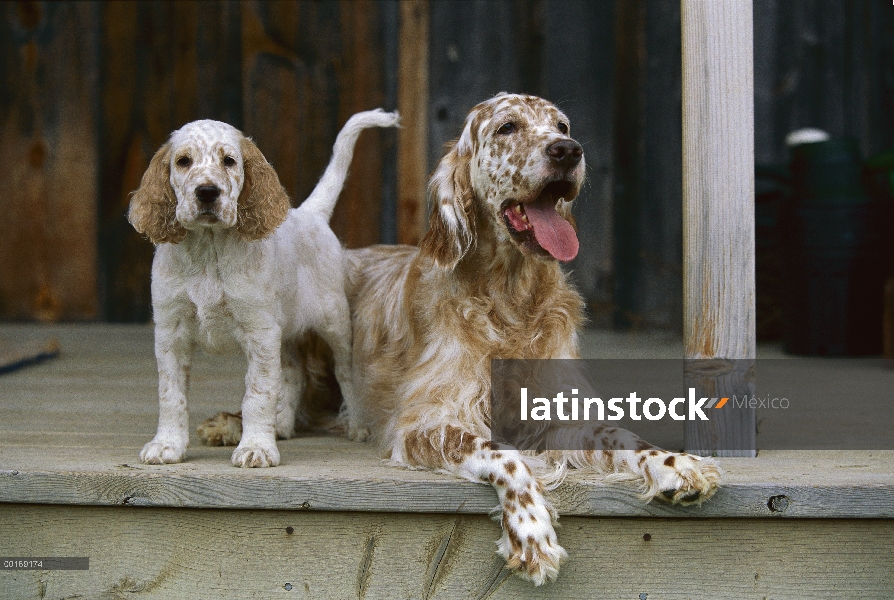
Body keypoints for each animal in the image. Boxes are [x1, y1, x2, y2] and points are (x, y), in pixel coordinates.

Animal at [129, 110, 400, 466]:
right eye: (183, 161)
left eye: (229, 161)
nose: (207, 192)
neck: (209, 249)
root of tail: (311, 214)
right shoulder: (170, 332)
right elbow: (171, 394)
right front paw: (167, 445)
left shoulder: (259, 330)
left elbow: (258, 394)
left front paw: (256, 447)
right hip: (284, 330)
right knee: (293, 374)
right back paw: (282, 426)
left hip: (334, 324)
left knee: (345, 373)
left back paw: (356, 426)